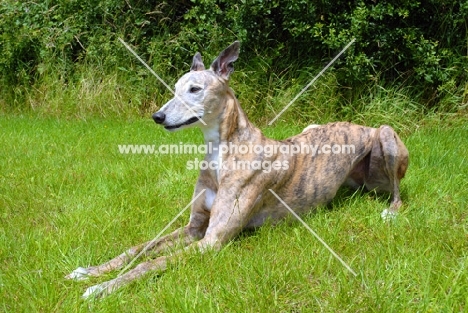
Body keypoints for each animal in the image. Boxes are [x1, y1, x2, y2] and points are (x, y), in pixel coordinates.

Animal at [66, 40, 410, 296]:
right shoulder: (194, 228)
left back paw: (390, 212)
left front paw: (103, 288)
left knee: (397, 193)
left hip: (386, 135)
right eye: (175, 89)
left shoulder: (211, 241)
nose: (157, 117)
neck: (222, 151)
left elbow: (151, 263)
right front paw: (90, 271)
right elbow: (139, 249)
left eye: (195, 89)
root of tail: (360, 125)